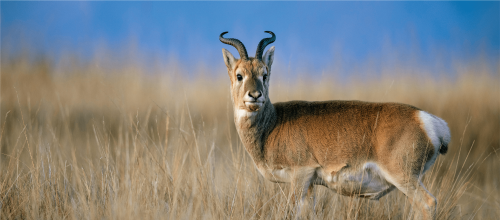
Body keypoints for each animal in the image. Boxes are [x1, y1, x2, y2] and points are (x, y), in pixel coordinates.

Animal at [221, 30, 452, 218]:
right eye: (239, 75)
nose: (255, 95)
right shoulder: (310, 185)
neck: (273, 124)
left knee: (429, 203)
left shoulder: (300, 176)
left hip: (404, 178)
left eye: (265, 74)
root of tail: (427, 119)